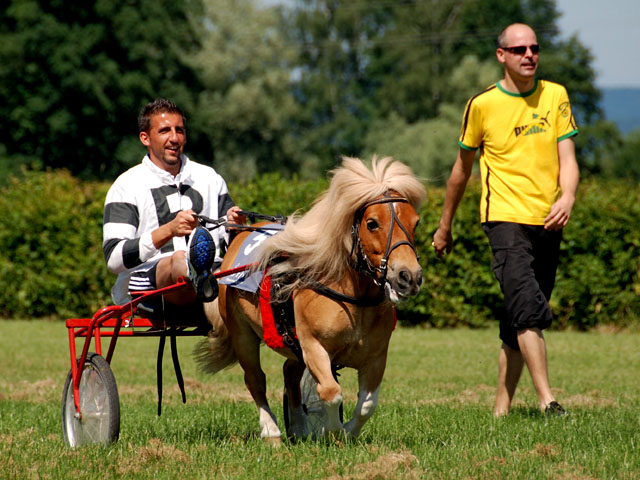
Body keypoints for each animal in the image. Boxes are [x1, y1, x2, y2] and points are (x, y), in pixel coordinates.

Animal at [196, 156, 426, 442]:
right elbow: (331, 391)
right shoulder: (313, 347)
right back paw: (271, 431)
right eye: (372, 222)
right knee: (255, 379)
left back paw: (298, 427)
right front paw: (332, 431)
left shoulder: (376, 356)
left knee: (289, 373)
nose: (409, 276)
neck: (352, 298)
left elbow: (367, 405)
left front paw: (347, 432)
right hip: (243, 335)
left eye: (416, 222)